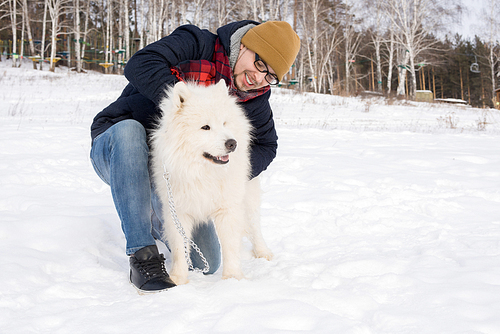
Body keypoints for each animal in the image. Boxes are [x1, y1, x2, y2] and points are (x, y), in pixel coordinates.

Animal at [150, 81, 274, 284]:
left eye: (224, 123)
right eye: (205, 127)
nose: (232, 143)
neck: (203, 173)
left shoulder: (228, 208)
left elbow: (230, 245)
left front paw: (232, 279)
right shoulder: (177, 211)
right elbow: (179, 247)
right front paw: (178, 278)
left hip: (248, 197)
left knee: (255, 226)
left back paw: (263, 252)